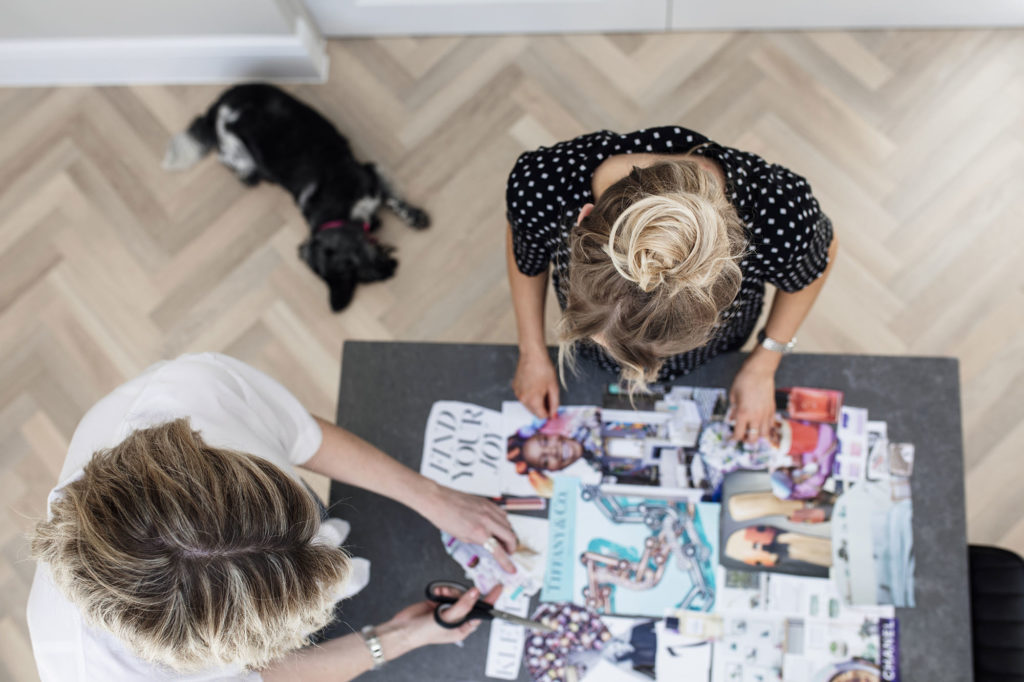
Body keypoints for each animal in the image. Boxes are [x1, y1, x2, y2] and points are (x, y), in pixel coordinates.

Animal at [163, 82, 428, 313]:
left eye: (353, 264)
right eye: (353, 273)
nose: (391, 270)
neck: (339, 212)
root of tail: (216, 106)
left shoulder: (369, 174)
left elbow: (392, 199)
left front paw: (415, 217)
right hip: (234, 147)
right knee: (225, 157)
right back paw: (247, 173)